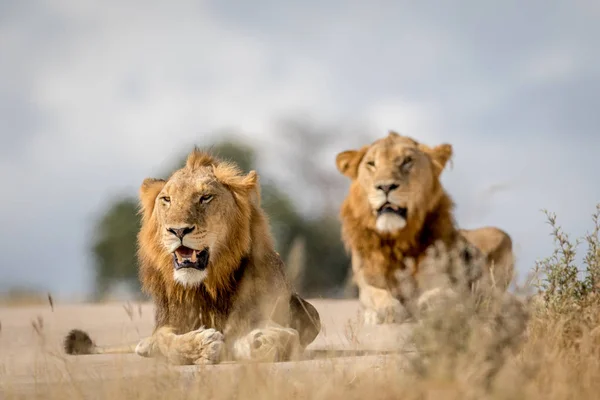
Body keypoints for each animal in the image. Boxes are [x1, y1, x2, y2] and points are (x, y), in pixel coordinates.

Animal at [63, 148, 322, 364]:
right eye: (166, 199)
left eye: (205, 197)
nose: (178, 231)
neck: (208, 285)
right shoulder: (168, 323)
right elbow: (164, 342)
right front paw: (200, 347)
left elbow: (281, 338)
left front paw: (258, 342)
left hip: (309, 312)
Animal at [336, 132, 512, 324]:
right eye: (371, 164)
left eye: (407, 161)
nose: (385, 186)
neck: (397, 240)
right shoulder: (367, 282)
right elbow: (376, 295)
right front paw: (385, 310)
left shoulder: (441, 280)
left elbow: (441, 293)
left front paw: (430, 306)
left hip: (499, 235)